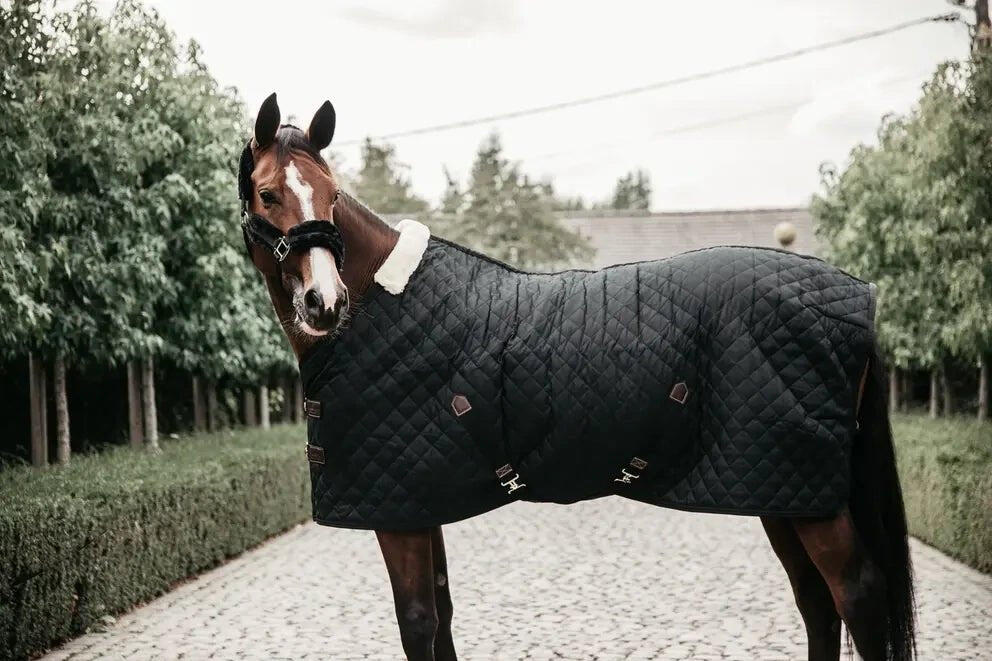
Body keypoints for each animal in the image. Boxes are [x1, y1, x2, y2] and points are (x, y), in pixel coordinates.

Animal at [237, 93, 915, 661]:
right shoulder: (420, 503)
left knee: (856, 594)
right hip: (779, 490)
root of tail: (855, 296)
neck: (386, 300)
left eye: (331, 194)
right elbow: (443, 615)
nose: (325, 302)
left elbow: (418, 623)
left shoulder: (397, 511)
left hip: (807, 497)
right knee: (816, 603)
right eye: (268, 194)